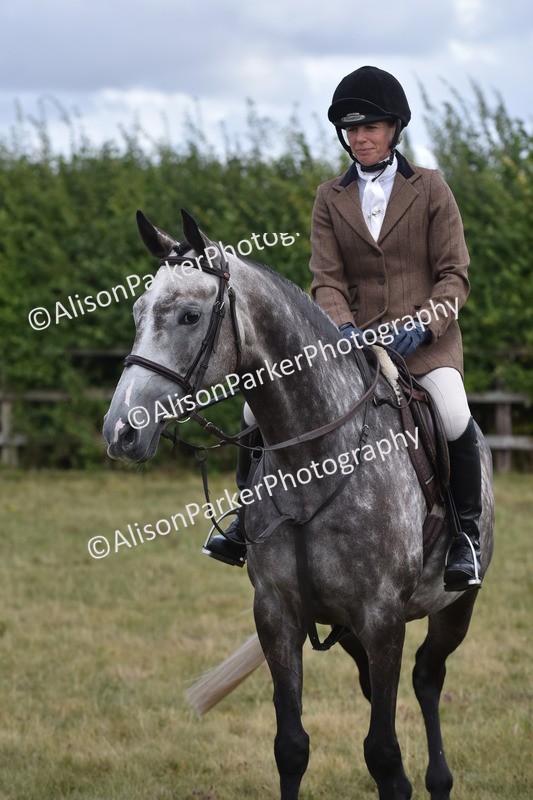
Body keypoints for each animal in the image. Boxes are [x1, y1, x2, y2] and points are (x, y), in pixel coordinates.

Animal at [103, 209, 494, 800]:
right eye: (137, 312)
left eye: (190, 315)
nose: (121, 431)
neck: (315, 461)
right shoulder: (277, 613)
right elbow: (292, 746)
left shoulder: (383, 618)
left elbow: (383, 753)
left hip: (454, 606)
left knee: (427, 678)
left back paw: (439, 779)